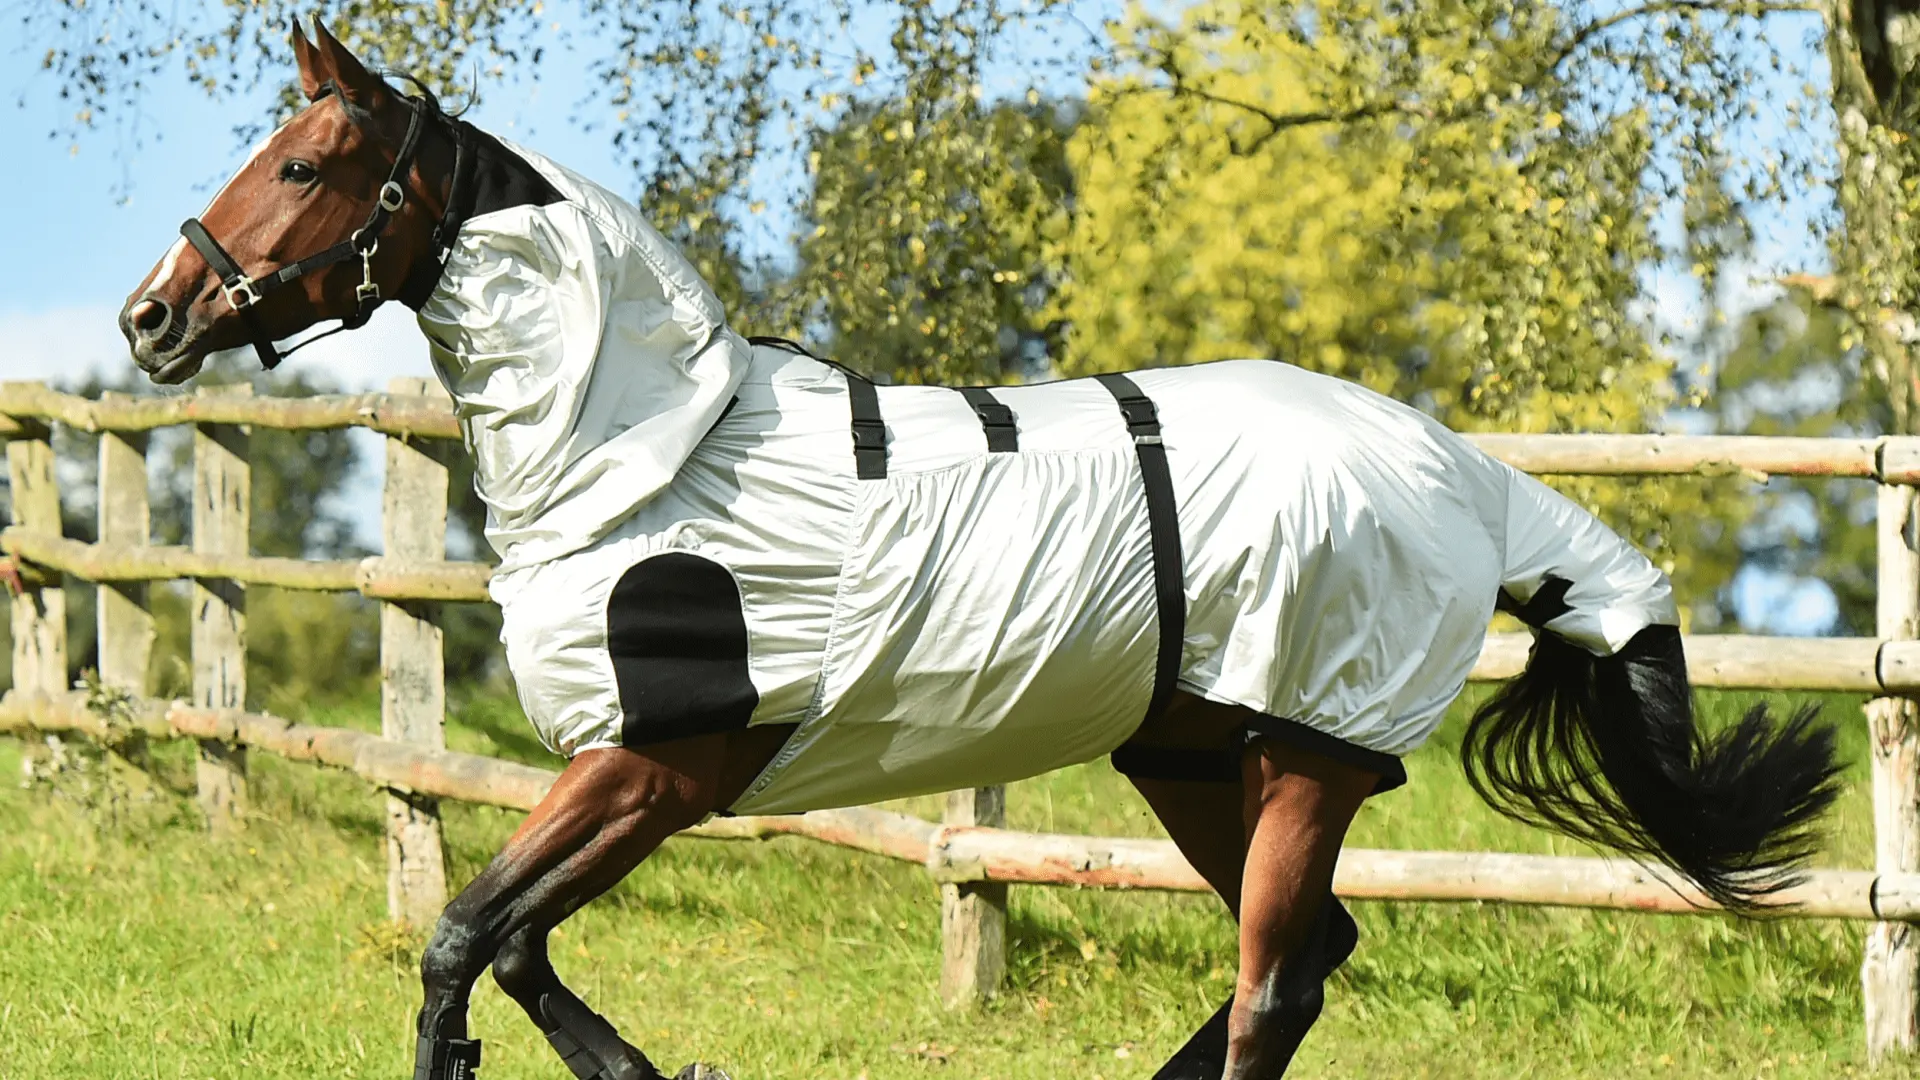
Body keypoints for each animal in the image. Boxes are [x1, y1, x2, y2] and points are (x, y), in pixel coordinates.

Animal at [119, 20, 1842, 1080]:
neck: (652, 451)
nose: (150, 314)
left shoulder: (658, 764)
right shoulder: (646, 778)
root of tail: (1467, 475)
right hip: (1193, 754)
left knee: (1277, 982)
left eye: (302, 166)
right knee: (1306, 960)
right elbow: (512, 948)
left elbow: (467, 937)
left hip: (1311, 756)